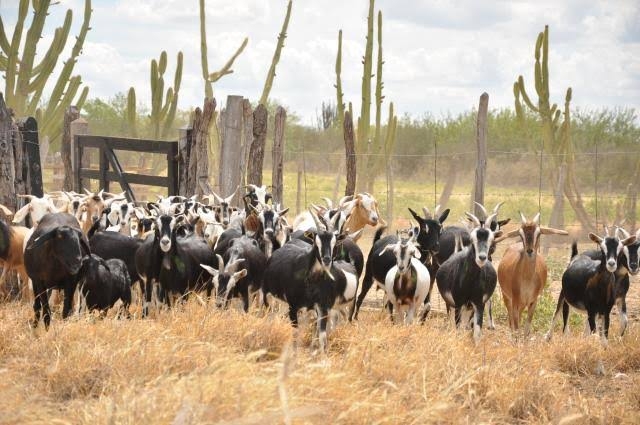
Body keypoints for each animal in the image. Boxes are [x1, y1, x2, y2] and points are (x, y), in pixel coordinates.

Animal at [262, 209, 360, 352]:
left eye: (334, 242)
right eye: (316, 240)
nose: (326, 260)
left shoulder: (322, 307)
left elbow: (322, 336)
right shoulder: (293, 306)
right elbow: (295, 333)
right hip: (269, 297)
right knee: (270, 316)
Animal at [438, 211, 502, 342]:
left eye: (491, 239)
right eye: (472, 239)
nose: (482, 257)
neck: (469, 283)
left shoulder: (478, 304)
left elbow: (476, 332)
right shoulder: (458, 303)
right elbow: (458, 330)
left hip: (469, 308)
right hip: (454, 305)